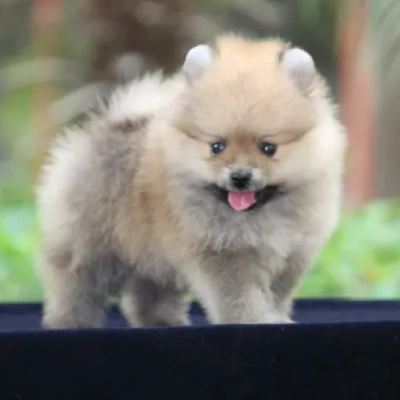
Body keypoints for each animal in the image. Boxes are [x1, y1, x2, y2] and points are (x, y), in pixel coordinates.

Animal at [35, 34, 346, 328]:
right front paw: (253, 320)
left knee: (149, 288)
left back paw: (162, 321)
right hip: (94, 242)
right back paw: (70, 320)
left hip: (152, 251)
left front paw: (275, 317)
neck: (258, 214)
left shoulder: (291, 255)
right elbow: (241, 295)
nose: (239, 176)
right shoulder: (224, 253)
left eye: (267, 148)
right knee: (75, 280)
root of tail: (112, 124)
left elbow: (276, 293)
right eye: (217, 146)